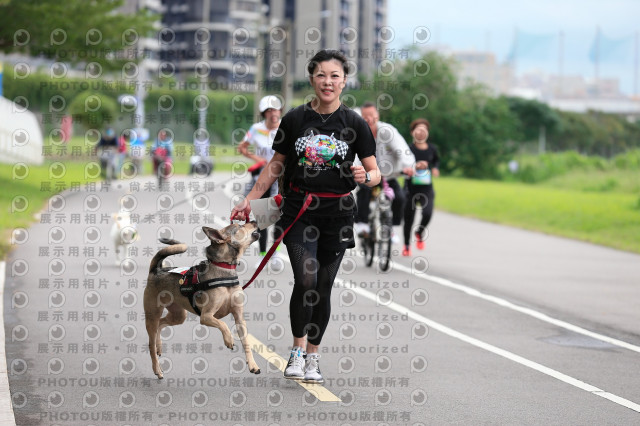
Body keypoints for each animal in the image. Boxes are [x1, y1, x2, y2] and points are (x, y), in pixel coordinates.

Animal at [146, 221, 262, 378]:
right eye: (240, 227)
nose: (254, 221)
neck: (224, 267)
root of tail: (156, 270)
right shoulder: (206, 316)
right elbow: (223, 324)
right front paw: (229, 339)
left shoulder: (239, 318)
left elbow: (246, 343)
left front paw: (253, 365)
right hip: (152, 315)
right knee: (151, 342)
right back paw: (157, 368)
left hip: (178, 315)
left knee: (161, 323)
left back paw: (159, 346)